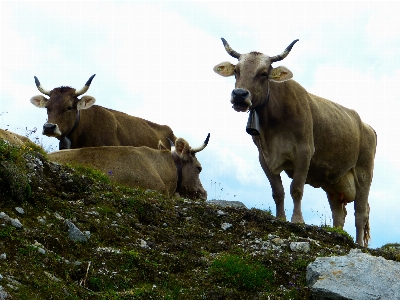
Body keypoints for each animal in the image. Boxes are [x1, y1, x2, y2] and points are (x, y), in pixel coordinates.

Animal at [214, 38, 376, 247]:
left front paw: (297, 220)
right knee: (339, 213)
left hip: (364, 173)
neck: (273, 126)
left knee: (361, 212)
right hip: (334, 182)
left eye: (264, 73)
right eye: (236, 70)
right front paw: (280, 218)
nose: (240, 95)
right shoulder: (264, 158)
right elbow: (278, 191)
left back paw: (358, 244)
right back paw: (338, 233)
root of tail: (366, 126)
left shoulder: (304, 152)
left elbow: (296, 189)